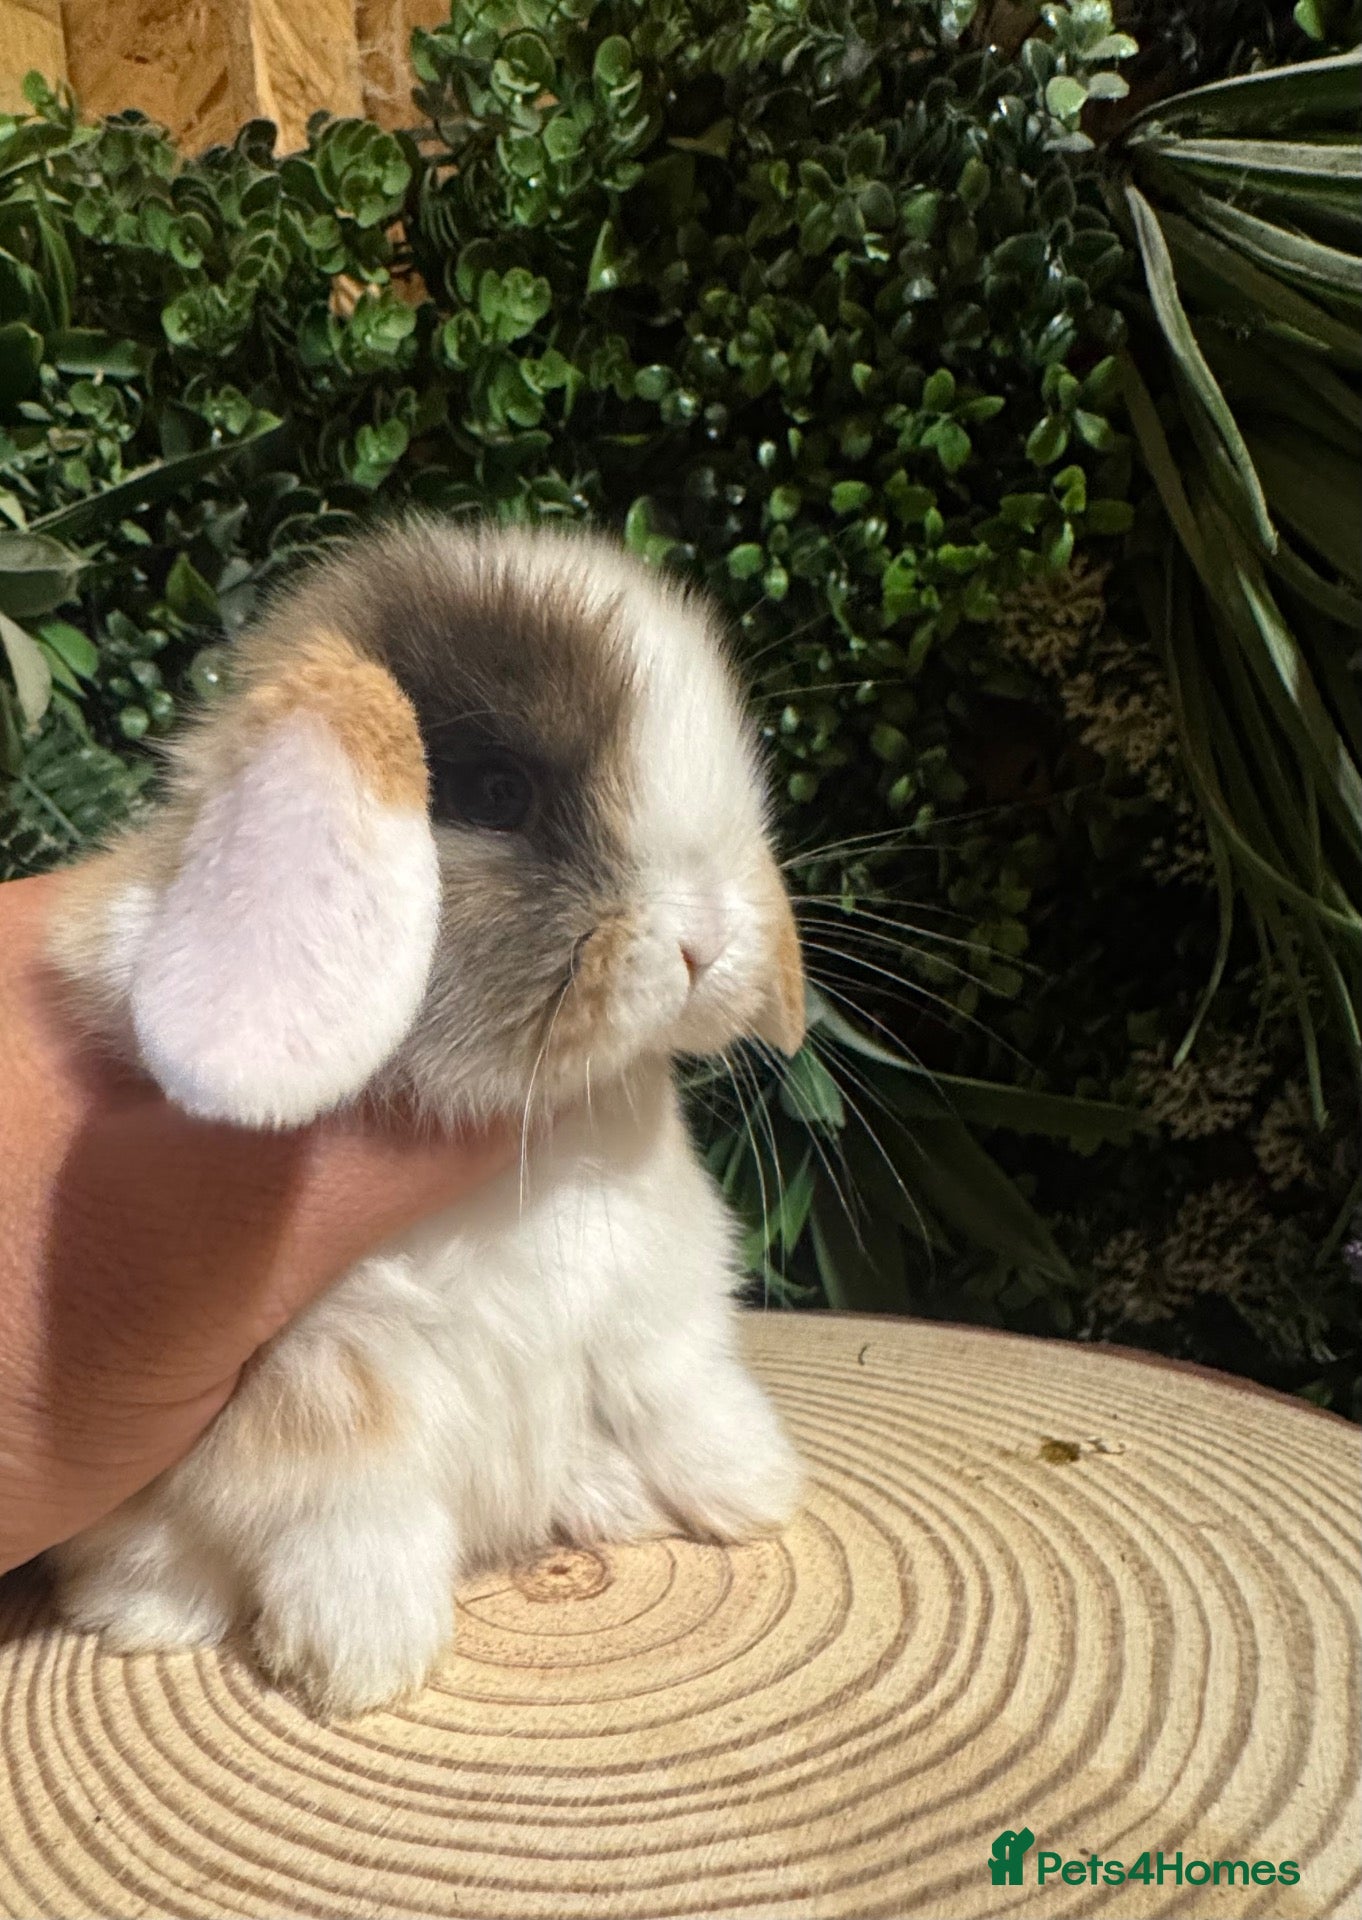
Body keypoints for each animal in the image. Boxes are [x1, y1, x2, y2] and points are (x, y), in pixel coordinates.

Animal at [43, 516, 807, 1716]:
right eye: (496, 792)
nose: (707, 944)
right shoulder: (318, 1382)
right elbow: (352, 1508)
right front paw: (360, 1658)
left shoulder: (656, 1296)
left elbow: (678, 1391)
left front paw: (757, 1489)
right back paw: (150, 1617)